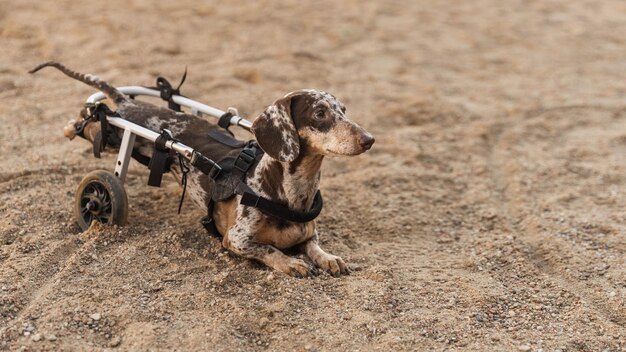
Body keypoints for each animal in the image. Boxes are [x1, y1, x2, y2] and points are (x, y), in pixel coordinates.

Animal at [30, 62, 370, 278]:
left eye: (343, 110)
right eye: (320, 113)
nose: (369, 140)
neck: (290, 192)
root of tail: (128, 102)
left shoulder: (307, 233)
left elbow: (314, 245)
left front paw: (328, 258)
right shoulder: (235, 239)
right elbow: (268, 250)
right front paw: (291, 263)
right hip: (115, 138)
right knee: (89, 122)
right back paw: (72, 125)